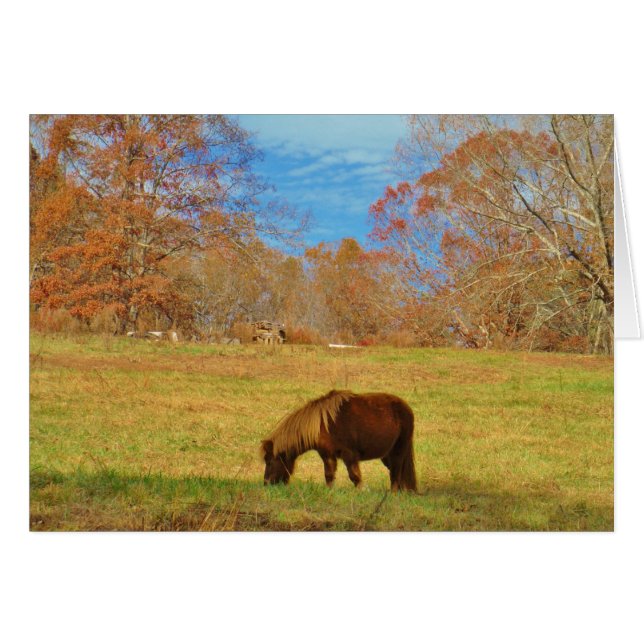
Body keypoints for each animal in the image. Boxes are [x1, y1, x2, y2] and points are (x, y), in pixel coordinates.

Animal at [260, 390, 417, 492]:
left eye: (269, 462)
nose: (266, 483)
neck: (322, 424)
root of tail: (406, 408)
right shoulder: (327, 455)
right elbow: (329, 476)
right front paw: (330, 493)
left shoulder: (349, 455)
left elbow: (355, 477)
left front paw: (359, 492)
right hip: (386, 455)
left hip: (398, 451)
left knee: (396, 473)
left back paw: (393, 494)